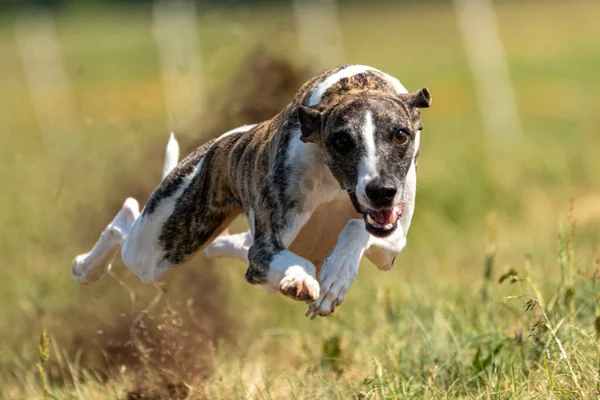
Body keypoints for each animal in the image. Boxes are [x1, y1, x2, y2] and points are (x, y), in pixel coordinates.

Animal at [71, 65, 432, 318]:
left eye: (400, 134)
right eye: (341, 140)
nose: (381, 191)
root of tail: (217, 145)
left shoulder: (391, 243)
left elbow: (359, 226)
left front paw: (336, 277)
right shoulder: (264, 250)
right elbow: (284, 257)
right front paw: (302, 278)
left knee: (222, 245)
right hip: (159, 247)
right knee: (126, 222)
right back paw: (86, 268)